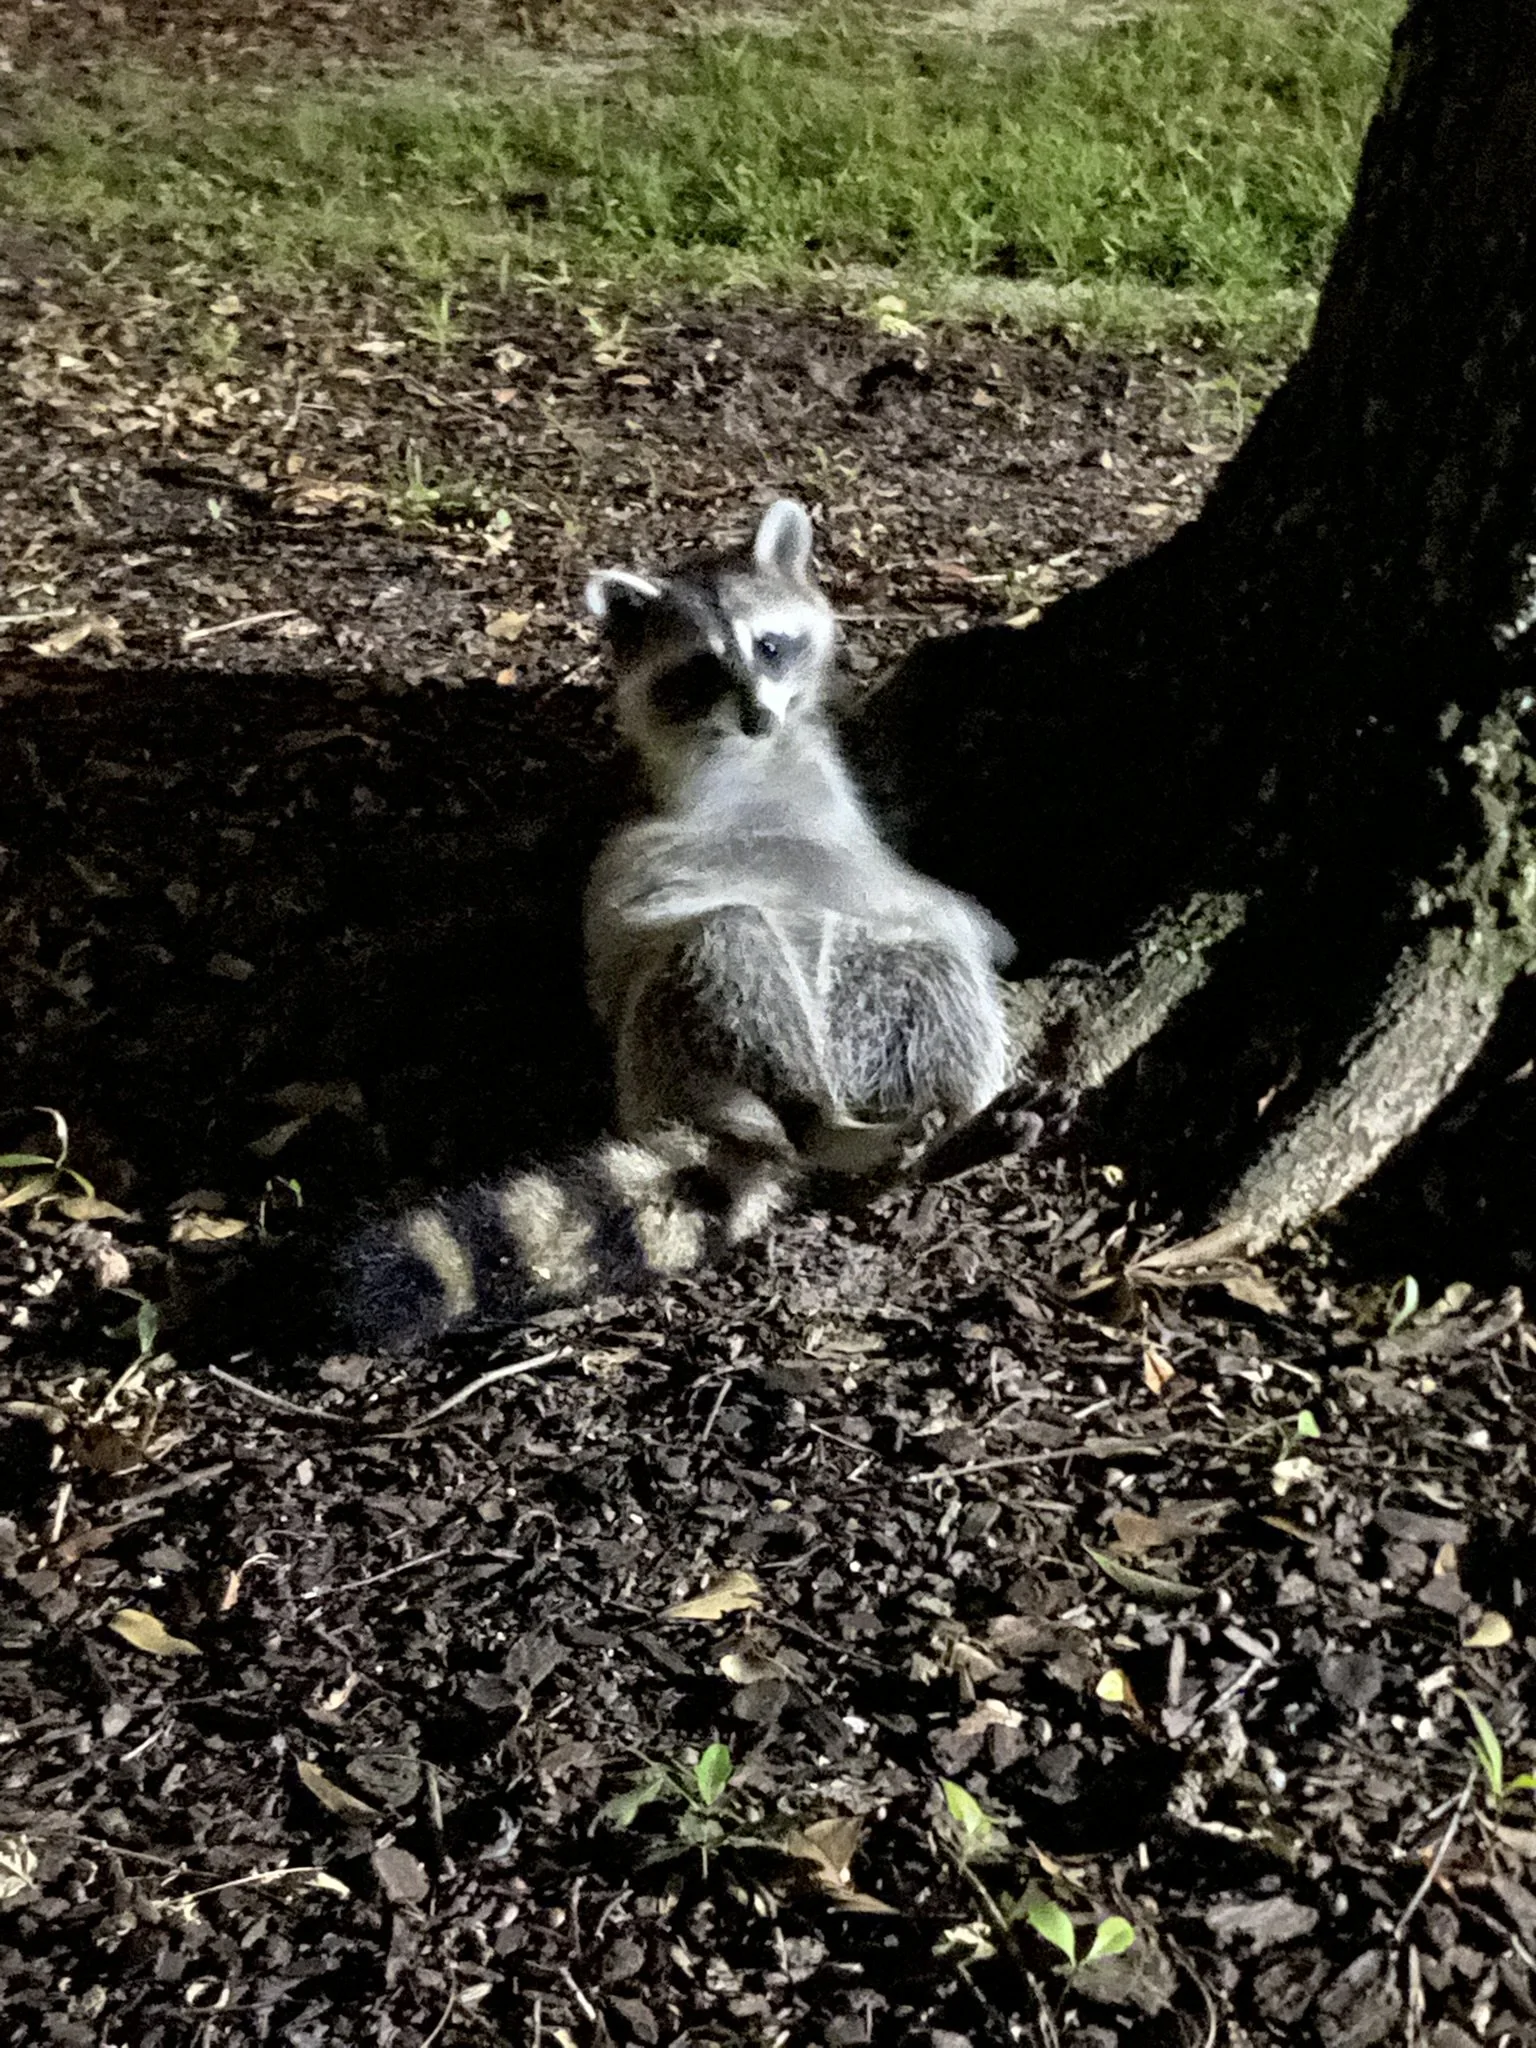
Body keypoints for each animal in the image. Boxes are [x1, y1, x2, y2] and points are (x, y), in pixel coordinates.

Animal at [340, 501, 1013, 1351]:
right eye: (701, 670)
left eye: (770, 645)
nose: (757, 715)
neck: (765, 751)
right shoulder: (699, 821)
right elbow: (674, 875)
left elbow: (887, 879)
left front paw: (964, 915)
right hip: (668, 1041)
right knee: (729, 944)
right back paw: (823, 1115)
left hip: (859, 1000)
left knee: (931, 972)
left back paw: (933, 1124)